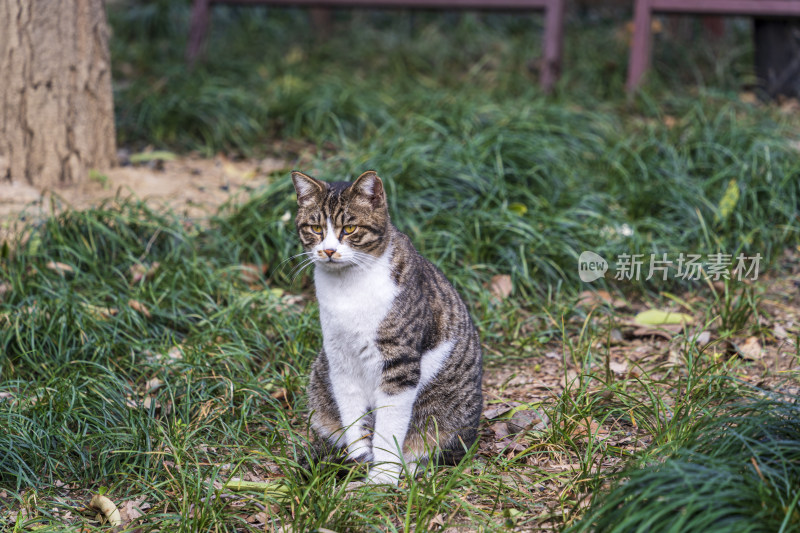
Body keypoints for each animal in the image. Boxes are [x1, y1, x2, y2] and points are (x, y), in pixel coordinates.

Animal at [292, 168, 484, 484]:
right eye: (316, 228)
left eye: (349, 229)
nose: (329, 251)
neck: (347, 288)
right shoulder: (339, 358)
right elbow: (354, 419)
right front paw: (360, 460)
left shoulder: (399, 363)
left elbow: (389, 427)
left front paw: (381, 477)